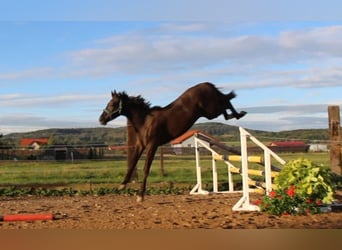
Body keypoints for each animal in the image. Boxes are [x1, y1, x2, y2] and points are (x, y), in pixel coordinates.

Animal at [99, 81, 246, 201]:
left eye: (112, 104)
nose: (101, 119)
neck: (145, 122)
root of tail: (207, 84)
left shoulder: (152, 145)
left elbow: (146, 169)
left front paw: (140, 196)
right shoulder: (141, 145)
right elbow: (132, 164)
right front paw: (122, 185)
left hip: (211, 111)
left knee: (226, 102)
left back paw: (240, 113)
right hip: (210, 112)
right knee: (225, 108)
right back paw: (235, 114)